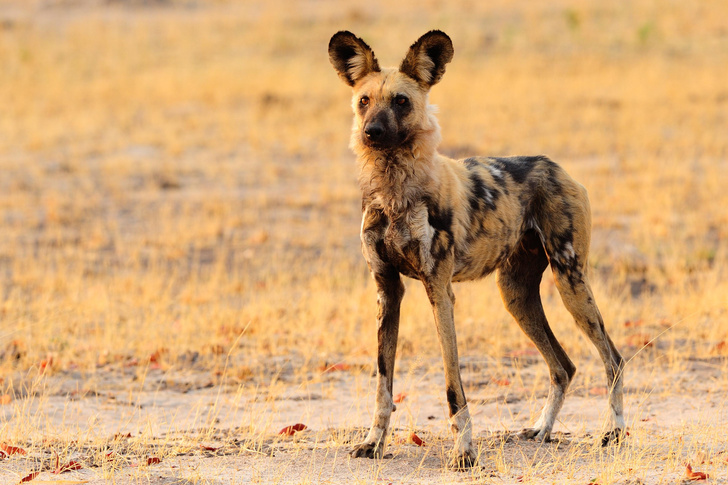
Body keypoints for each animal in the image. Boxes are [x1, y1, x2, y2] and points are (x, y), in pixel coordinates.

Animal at [328, 31, 624, 468]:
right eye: (364, 100)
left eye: (401, 101)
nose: (372, 132)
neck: (395, 190)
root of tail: (556, 166)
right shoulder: (388, 291)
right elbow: (383, 385)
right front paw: (373, 443)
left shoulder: (439, 291)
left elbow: (453, 385)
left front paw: (464, 453)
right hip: (516, 295)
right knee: (563, 367)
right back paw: (542, 429)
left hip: (570, 282)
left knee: (612, 359)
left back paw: (614, 432)